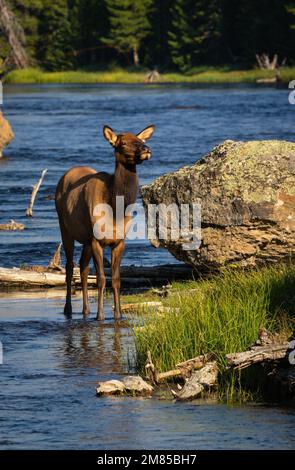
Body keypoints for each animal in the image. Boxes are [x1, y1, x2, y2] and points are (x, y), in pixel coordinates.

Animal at [56, 124, 156, 320]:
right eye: (122, 143)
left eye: (140, 139)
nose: (146, 149)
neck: (115, 209)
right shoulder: (97, 240)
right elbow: (101, 278)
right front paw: (100, 315)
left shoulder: (119, 241)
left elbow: (116, 279)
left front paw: (118, 314)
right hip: (64, 227)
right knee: (70, 266)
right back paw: (68, 309)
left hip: (86, 239)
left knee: (83, 266)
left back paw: (86, 310)